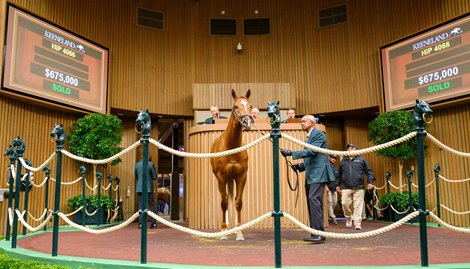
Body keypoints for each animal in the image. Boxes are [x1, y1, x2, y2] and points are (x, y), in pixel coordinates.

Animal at [210, 89, 253, 240]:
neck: (231, 147)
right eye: (236, 106)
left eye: (250, 106)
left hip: (231, 179)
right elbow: (224, 203)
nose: (247, 122)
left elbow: (238, 202)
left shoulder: (241, 177)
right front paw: (223, 230)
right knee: (226, 200)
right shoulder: (221, 178)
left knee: (232, 200)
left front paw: (239, 232)